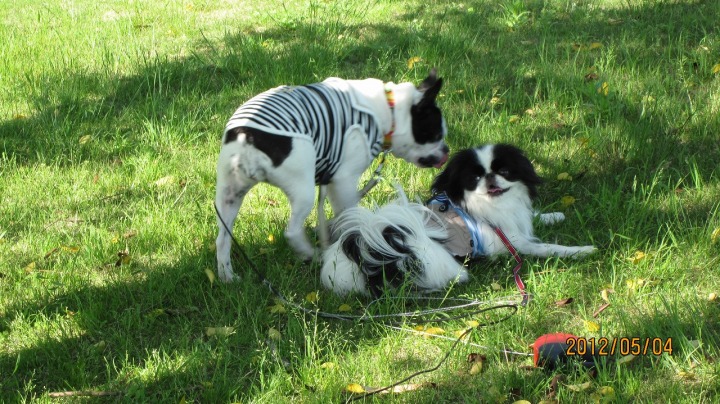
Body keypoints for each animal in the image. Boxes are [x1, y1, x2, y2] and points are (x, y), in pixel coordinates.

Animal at [215, 70, 449, 282]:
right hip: (302, 189)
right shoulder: (344, 181)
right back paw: (311, 254)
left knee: (222, 239)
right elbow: (348, 215)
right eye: (437, 134)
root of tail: (247, 136)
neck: (389, 109)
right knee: (292, 231)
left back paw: (227, 276)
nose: (446, 150)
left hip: (229, 194)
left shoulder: (328, 178)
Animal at [321, 144, 595, 296]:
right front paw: (583, 250)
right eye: (474, 178)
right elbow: (549, 247)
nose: (490, 177)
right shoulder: (516, 242)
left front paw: (555, 215)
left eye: (504, 171)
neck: (492, 205)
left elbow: (534, 215)